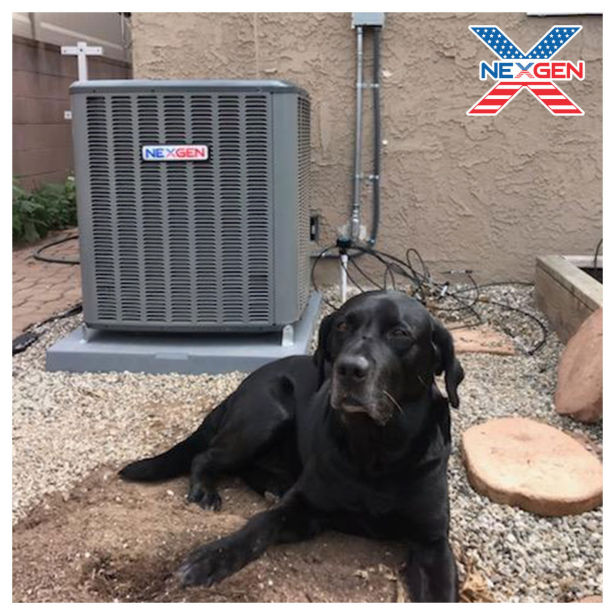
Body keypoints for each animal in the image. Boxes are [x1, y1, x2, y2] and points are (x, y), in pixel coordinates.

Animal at [120, 292, 464, 604]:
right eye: (343, 326)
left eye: (400, 333)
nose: (349, 369)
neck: (375, 450)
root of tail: (239, 388)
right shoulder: (303, 508)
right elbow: (259, 525)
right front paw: (213, 558)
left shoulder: (432, 543)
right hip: (269, 413)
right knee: (206, 456)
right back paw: (207, 490)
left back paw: (273, 484)